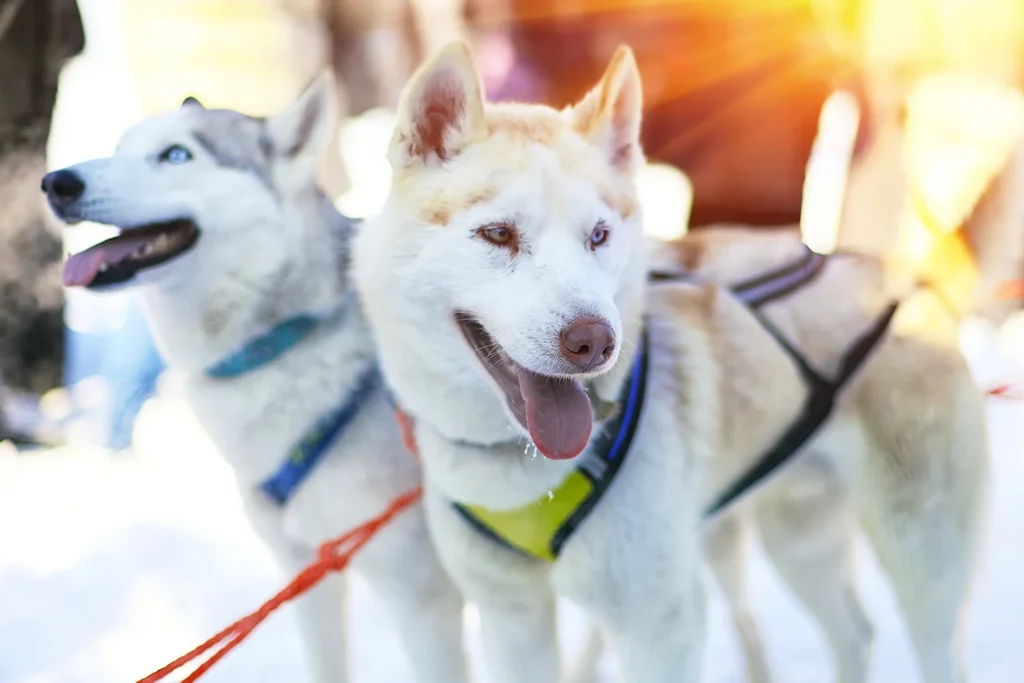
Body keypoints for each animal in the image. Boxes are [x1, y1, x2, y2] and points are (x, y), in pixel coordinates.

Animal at [41, 76, 468, 683]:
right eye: (120, 147)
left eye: (176, 155)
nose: (57, 182)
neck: (284, 339)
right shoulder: (308, 573)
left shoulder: (424, 599)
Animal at [354, 42, 991, 683]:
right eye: (497, 233)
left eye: (599, 235)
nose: (594, 342)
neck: (521, 474)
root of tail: (903, 277)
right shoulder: (511, 619)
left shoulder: (661, 624)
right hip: (797, 537)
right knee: (855, 632)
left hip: (919, 553)